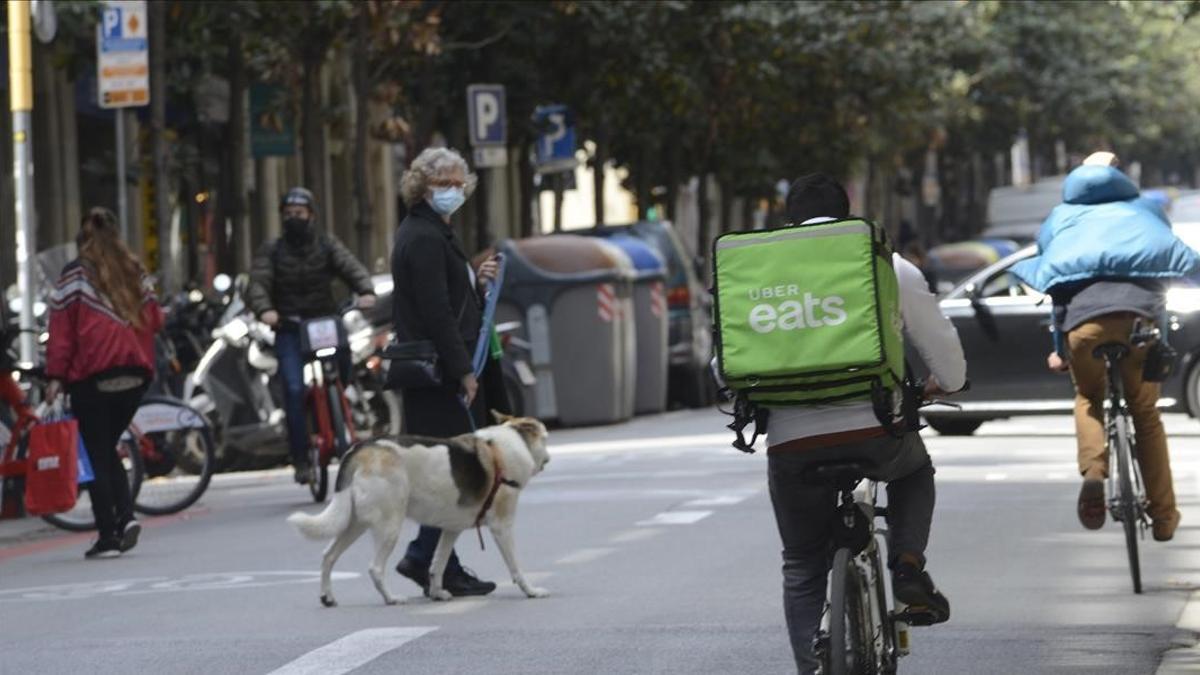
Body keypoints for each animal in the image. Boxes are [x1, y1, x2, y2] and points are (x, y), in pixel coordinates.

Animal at [288, 410, 549, 605]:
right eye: (545, 438)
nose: (548, 457)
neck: (505, 449)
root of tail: (361, 448)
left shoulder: (451, 529)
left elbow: (438, 564)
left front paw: (437, 593)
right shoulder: (501, 527)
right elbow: (516, 567)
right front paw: (531, 591)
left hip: (355, 523)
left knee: (329, 555)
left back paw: (327, 597)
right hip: (389, 526)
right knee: (375, 568)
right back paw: (391, 598)